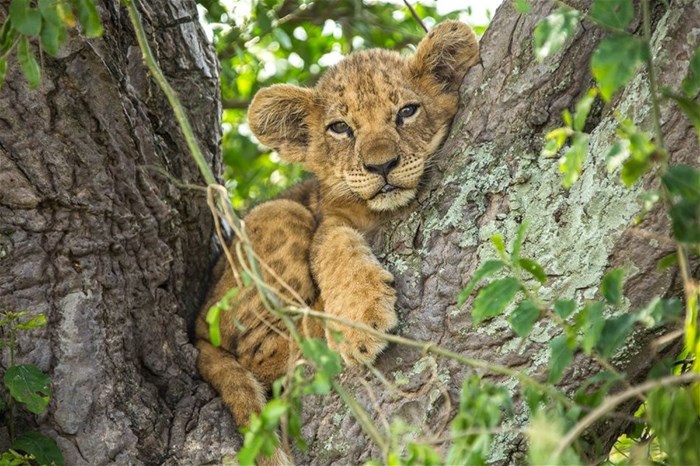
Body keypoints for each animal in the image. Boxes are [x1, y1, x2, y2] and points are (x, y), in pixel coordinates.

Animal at [195, 20, 479, 465]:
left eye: (407, 111)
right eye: (341, 128)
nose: (382, 165)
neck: (381, 213)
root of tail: (195, 327)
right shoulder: (326, 217)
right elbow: (332, 248)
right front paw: (358, 322)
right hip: (279, 213)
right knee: (259, 352)